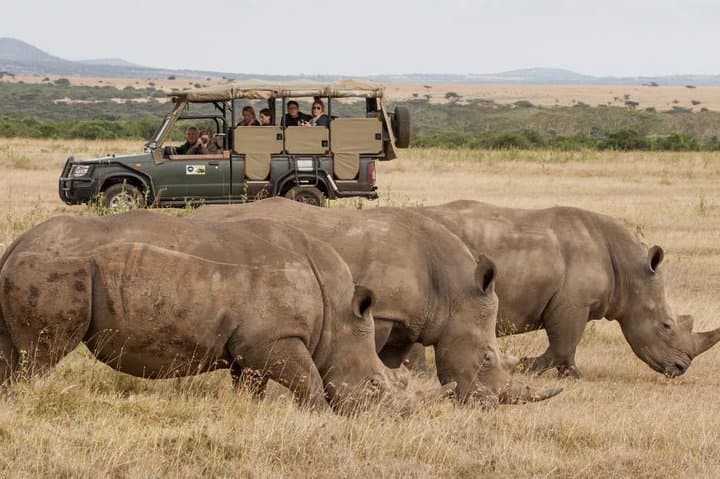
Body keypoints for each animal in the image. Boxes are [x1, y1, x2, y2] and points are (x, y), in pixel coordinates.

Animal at [0, 214, 451, 413]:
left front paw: (250, 414)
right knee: (39, 358)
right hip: (58, 268)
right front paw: (318, 416)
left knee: (12, 355)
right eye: (374, 386)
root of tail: (17, 242)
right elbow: (309, 381)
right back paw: (29, 401)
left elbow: (251, 386)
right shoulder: (275, 340)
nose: (399, 417)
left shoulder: (251, 347)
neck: (338, 318)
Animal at [193, 197, 562, 404]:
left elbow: (391, 362)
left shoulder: (405, 320)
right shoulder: (383, 312)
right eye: (486, 358)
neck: (453, 290)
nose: (490, 405)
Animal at [416, 200, 720, 378]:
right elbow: (565, 344)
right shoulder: (573, 303)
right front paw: (557, 373)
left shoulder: (571, 303)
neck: (631, 272)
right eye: (666, 325)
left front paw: (530, 367)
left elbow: (563, 344)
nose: (680, 369)